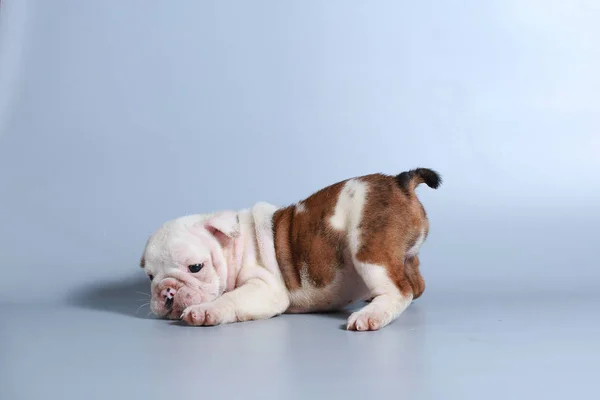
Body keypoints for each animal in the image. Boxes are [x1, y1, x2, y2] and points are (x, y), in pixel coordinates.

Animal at [141, 169, 440, 332]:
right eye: (150, 277)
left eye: (196, 267)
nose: (167, 290)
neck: (233, 247)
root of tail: (400, 182)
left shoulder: (265, 289)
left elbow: (230, 299)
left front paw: (205, 311)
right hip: (402, 256)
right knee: (417, 283)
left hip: (369, 248)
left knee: (400, 291)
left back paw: (371, 315)